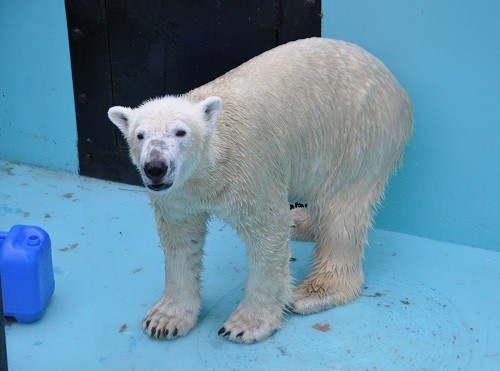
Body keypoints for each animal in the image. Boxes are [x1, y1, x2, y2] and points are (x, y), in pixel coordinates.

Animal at [107, 36, 412, 344]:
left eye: (181, 132)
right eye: (140, 135)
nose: (155, 167)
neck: (213, 162)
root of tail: (396, 86)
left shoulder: (251, 172)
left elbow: (267, 235)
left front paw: (245, 324)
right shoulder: (180, 193)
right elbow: (181, 240)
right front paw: (165, 319)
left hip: (358, 134)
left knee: (340, 211)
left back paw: (313, 291)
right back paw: (300, 223)